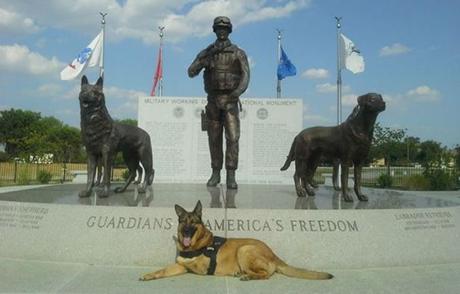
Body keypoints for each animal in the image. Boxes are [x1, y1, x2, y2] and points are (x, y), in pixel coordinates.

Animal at [138, 201, 332, 282]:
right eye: (183, 221)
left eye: (193, 222)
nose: (186, 231)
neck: (195, 245)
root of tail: (274, 254)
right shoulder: (180, 265)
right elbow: (163, 270)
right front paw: (149, 275)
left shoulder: (199, 268)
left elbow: (193, 265)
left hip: (244, 249)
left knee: (266, 274)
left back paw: (246, 275)